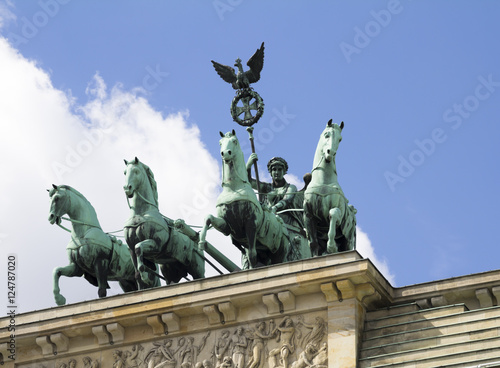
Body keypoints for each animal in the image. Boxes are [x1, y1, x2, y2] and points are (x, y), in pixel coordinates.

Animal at [123, 157, 205, 288]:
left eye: (136, 171)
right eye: (125, 172)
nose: (127, 188)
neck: (142, 213)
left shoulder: (156, 244)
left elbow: (139, 247)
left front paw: (146, 277)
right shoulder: (131, 249)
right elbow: (137, 273)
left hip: (197, 269)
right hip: (169, 271)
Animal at [197, 131, 294, 268]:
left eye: (234, 141)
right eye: (220, 143)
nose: (225, 153)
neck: (233, 188)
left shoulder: (251, 224)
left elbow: (252, 254)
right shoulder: (227, 226)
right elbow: (208, 218)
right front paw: (201, 242)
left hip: (279, 252)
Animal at [302, 121, 358, 256]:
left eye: (340, 139)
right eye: (326, 134)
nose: (330, 153)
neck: (323, 181)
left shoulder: (338, 212)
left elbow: (333, 213)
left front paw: (331, 247)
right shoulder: (308, 216)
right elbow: (313, 244)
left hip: (348, 240)